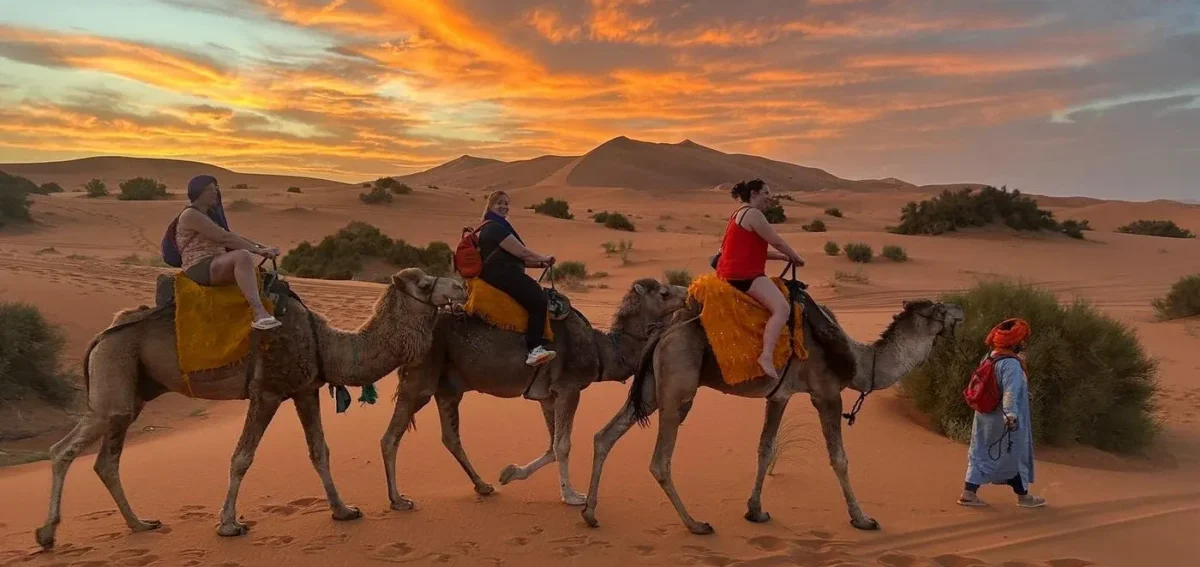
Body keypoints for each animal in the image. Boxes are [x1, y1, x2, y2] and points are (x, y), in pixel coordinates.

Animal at [35, 268, 465, 549]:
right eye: (424, 283)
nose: (461, 285)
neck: (327, 342)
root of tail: (101, 335)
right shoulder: (267, 393)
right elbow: (242, 456)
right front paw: (228, 525)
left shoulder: (305, 390)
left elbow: (320, 452)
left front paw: (344, 510)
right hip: (114, 373)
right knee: (62, 450)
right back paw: (47, 533)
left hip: (134, 391)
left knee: (106, 460)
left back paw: (140, 524)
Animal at [381, 278, 687, 509]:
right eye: (664, 292)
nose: (686, 292)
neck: (600, 350)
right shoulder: (569, 387)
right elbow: (563, 445)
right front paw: (572, 497)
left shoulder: (547, 395)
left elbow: (552, 446)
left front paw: (510, 473)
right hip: (420, 379)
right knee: (391, 436)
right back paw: (398, 500)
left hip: (448, 388)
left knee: (450, 437)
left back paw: (483, 485)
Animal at [581, 293, 963, 534]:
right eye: (939, 309)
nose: (961, 310)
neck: (859, 360)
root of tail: (663, 333)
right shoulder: (826, 394)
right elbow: (839, 458)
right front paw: (863, 519)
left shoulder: (779, 396)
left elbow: (765, 449)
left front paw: (755, 511)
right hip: (678, 388)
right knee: (660, 460)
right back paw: (696, 524)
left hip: (651, 389)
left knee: (604, 435)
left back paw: (590, 513)